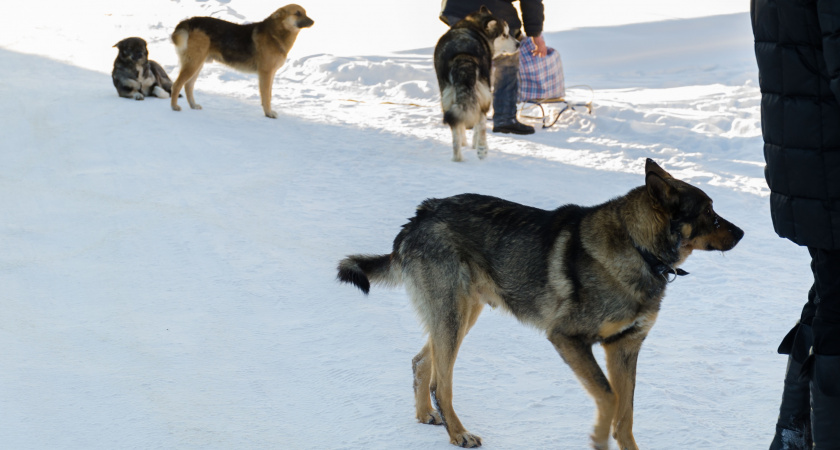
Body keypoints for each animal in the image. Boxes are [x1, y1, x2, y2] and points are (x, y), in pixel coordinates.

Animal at [169, 4, 314, 118]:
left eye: (305, 13)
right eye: (297, 13)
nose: (313, 22)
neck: (276, 34)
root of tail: (190, 21)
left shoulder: (271, 74)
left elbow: (269, 95)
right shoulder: (266, 73)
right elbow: (266, 96)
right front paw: (268, 113)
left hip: (198, 64)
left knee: (188, 86)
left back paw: (193, 105)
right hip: (193, 64)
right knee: (176, 85)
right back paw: (174, 106)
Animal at [334, 160, 740, 448]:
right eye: (708, 212)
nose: (742, 232)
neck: (637, 246)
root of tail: (419, 215)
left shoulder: (624, 348)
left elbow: (625, 414)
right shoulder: (568, 338)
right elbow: (609, 400)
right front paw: (597, 438)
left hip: (461, 314)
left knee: (422, 363)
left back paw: (426, 415)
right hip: (453, 317)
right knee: (442, 384)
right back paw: (458, 433)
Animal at [434, 6, 520, 162]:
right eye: (504, 35)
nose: (518, 43)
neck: (473, 27)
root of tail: (463, 56)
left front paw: (464, 142)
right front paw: (475, 145)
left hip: (447, 96)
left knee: (455, 124)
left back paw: (457, 157)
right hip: (484, 94)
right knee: (481, 124)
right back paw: (482, 149)